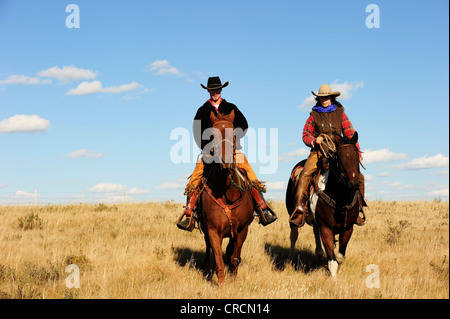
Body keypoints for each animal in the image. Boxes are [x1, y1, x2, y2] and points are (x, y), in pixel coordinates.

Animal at [200, 110, 255, 288]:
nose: (226, 161)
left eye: (234, 135)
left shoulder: (242, 230)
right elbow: (219, 262)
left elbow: (234, 258)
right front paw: (222, 287)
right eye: (212, 135)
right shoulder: (212, 231)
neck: (227, 193)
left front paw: (234, 281)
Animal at [288, 132, 362, 278]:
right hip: (292, 214)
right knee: (294, 235)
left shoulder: (348, 229)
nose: (354, 183)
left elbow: (339, 257)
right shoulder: (326, 229)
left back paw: (318, 254)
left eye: (357, 156)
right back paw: (292, 258)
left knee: (315, 232)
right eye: (339, 158)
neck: (340, 198)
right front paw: (334, 280)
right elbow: (332, 261)